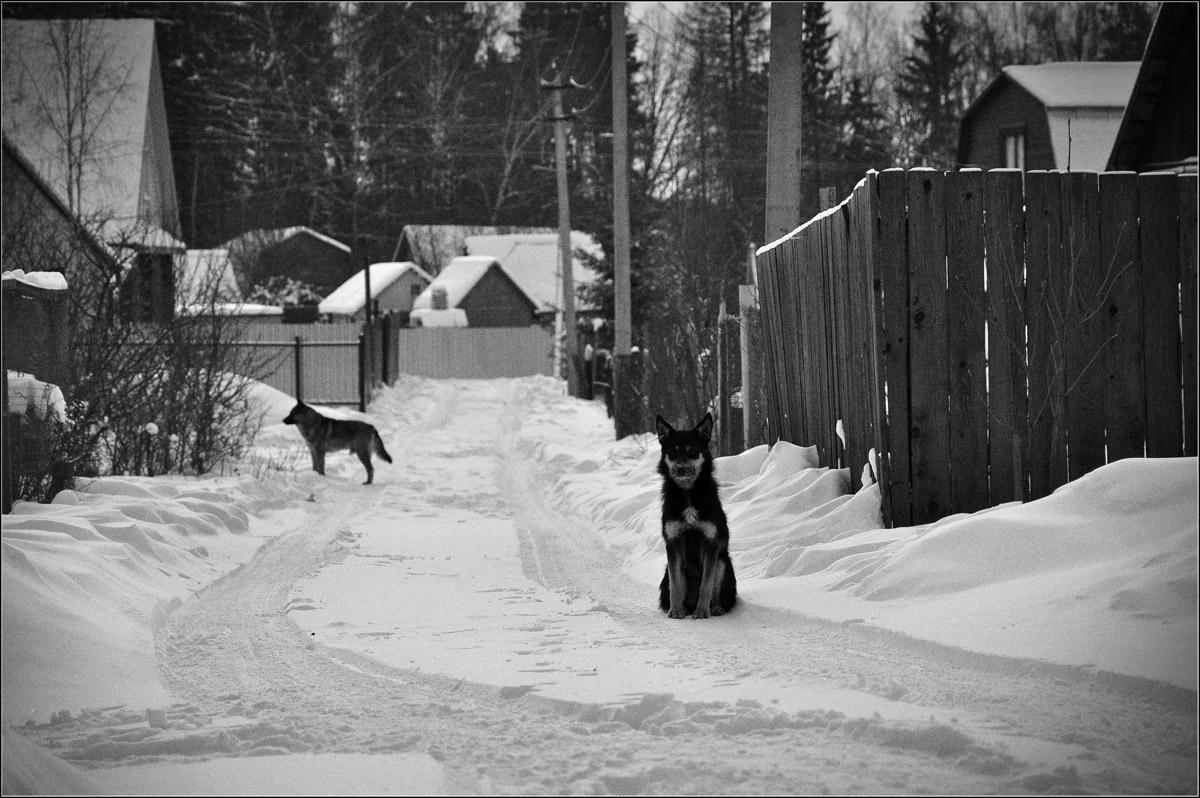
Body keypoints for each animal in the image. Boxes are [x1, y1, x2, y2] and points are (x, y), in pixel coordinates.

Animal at [657, 410, 729, 614]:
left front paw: (702, 611)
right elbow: (676, 585)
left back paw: (714, 608)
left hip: (722, 562)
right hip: (669, 570)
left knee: (716, 590)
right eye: (673, 453)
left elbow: (706, 584)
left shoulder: (711, 543)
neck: (688, 493)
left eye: (692, 452)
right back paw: (681, 608)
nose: (681, 470)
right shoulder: (673, 543)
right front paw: (675, 611)